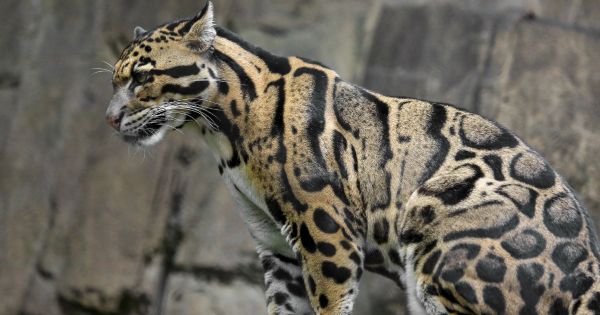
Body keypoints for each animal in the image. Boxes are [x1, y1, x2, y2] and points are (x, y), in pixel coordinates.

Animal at [105, 2, 600, 315]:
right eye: (115, 81)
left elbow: (329, 304)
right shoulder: (276, 248)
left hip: (435, 232)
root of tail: (589, 269)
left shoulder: (328, 234)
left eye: (142, 78)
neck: (221, 131)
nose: (109, 119)